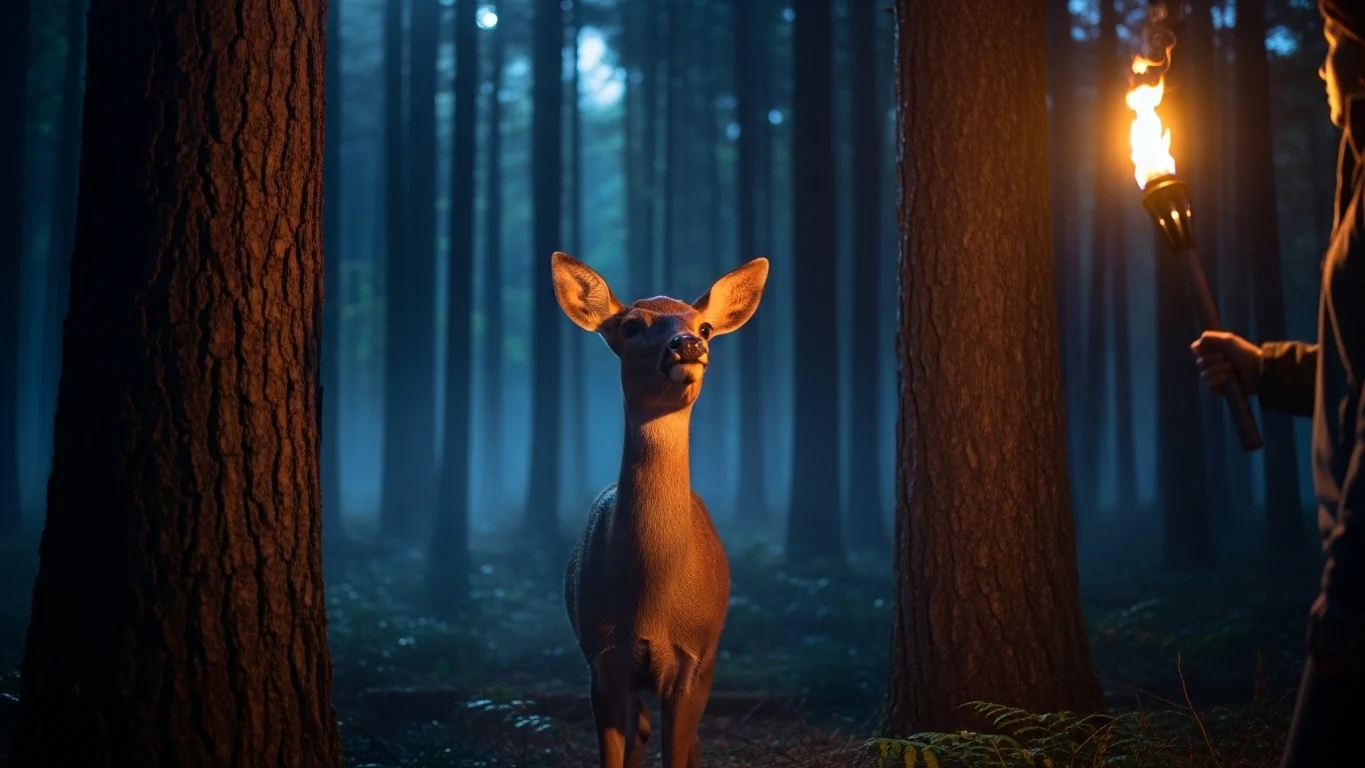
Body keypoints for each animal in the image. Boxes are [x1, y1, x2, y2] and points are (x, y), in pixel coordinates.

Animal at [551, 251, 769, 768]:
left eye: (705, 326)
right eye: (632, 325)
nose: (687, 344)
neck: (651, 602)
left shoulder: (692, 662)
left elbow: (678, 749)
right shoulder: (602, 660)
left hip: (711, 657)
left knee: (690, 741)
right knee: (643, 733)